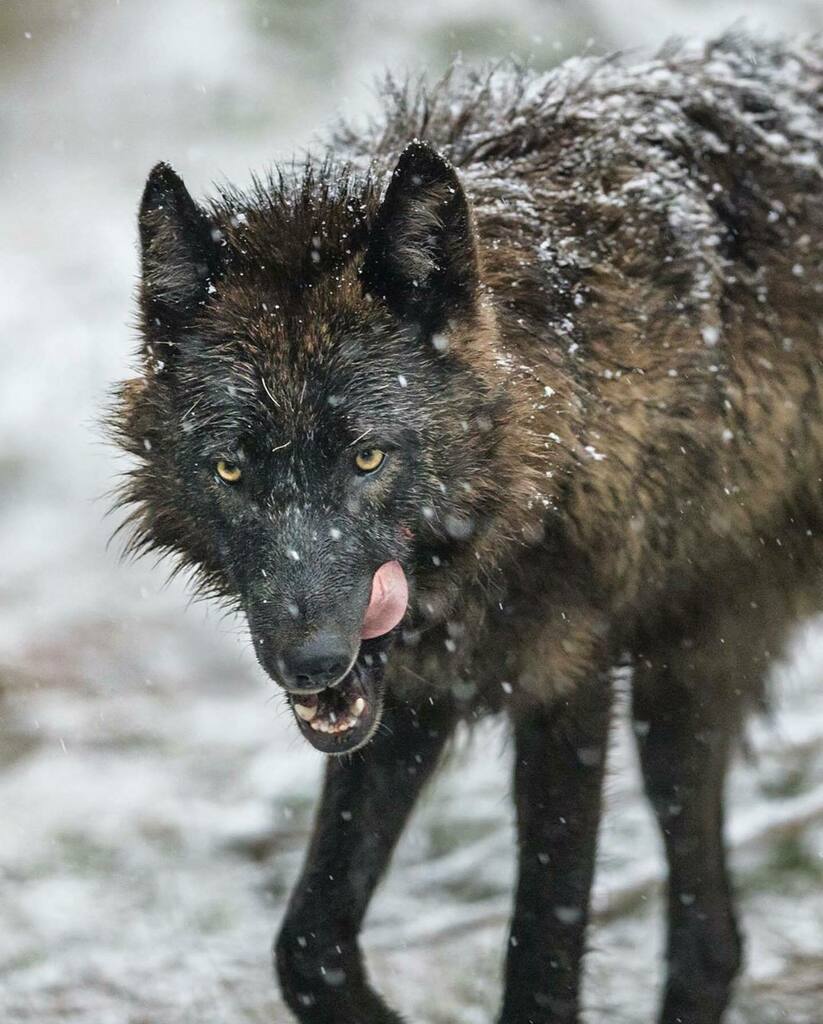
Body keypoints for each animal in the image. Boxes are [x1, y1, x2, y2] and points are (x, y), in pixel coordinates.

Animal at [110, 34, 823, 1024]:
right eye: (231, 470)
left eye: (367, 458)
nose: (309, 662)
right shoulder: (407, 693)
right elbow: (307, 946)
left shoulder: (568, 686)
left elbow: (541, 958)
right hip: (684, 682)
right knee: (712, 941)